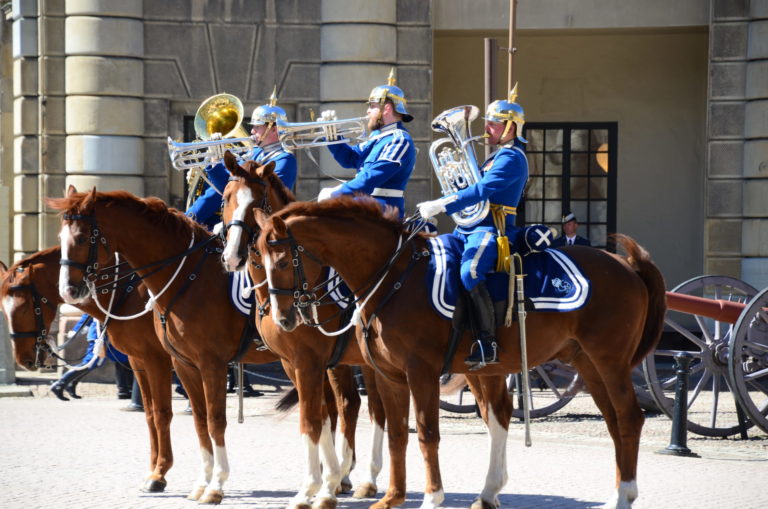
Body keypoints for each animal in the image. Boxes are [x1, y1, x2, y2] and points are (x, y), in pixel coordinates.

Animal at [0, 246, 276, 492]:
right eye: (4, 308)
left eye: (23, 306)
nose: (24, 359)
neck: (127, 292)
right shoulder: (139, 361)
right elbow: (151, 414)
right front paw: (154, 469)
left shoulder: (158, 359)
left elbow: (163, 413)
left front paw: (160, 473)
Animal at [220, 153, 390, 502]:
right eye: (226, 197)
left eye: (257, 201)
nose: (233, 256)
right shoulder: (294, 363)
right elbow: (321, 416)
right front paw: (328, 479)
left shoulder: (309, 360)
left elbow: (312, 417)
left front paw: (320, 483)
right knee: (349, 404)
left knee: (377, 410)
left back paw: (368, 478)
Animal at [256, 197, 664, 508]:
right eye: (256, 257)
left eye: (281, 260)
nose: (283, 317)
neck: (392, 278)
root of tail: (626, 265)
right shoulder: (389, 375)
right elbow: (396, 433)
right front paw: (391, 497)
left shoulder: (416, 371)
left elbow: (425, 432)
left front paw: (430, 497)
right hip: (586, 363)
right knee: (612, 421)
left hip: (609, 361)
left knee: (628, 419)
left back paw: (623, 497)